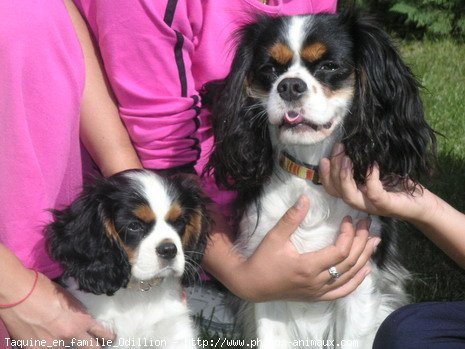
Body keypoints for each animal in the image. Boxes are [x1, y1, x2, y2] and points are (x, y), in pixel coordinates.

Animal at [205, 10, 434, 348]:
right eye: (269, 69)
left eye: (329, 66)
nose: (289, 85)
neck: (309, 173)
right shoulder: (266, 281)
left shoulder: (360, 279)